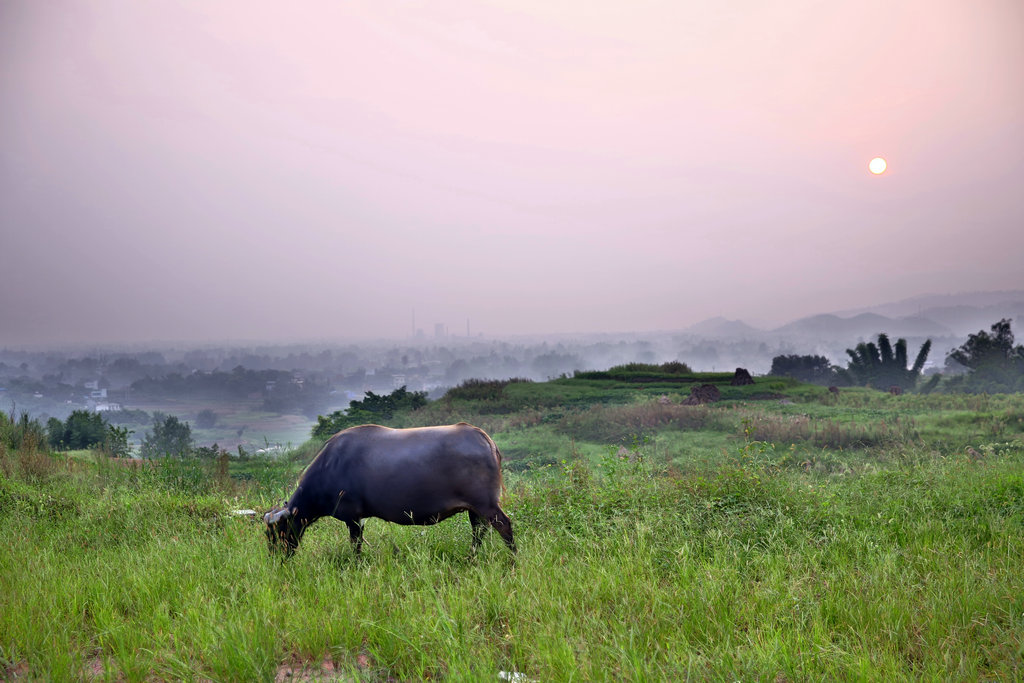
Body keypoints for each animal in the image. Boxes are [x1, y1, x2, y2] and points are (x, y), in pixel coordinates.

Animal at [260, 423, 516, 557]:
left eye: (278, 531)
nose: (277, 559)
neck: (330, 467)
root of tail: (483, 438)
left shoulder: (353, 518)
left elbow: (356, 547)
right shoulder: (359, 519)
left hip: (486, 505)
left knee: (504, 526)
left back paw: (512, 560)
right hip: (475, 509)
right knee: (478, 532)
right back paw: (472, 557)